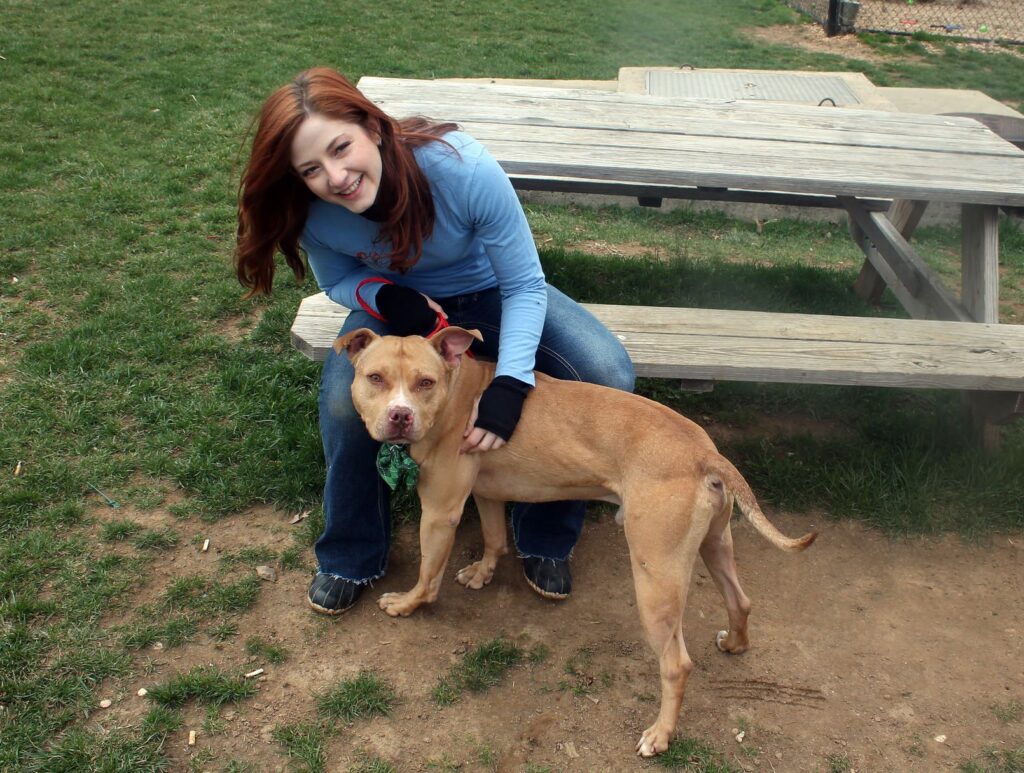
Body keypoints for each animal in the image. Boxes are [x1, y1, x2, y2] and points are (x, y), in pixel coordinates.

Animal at [335, 325, 815, 757]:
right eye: (375, 378)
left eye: (425, 383)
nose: (400, 416)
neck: (458, 393)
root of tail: (704, 453)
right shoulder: (487, 493)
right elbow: (494, 538)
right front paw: (482, 572)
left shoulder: (439, 511)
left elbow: (427, 573)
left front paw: (407, 603)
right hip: (715, 545)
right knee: (740, 600)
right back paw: (734, 643)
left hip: (656, 578)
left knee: (677, 665)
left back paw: (660, 735)